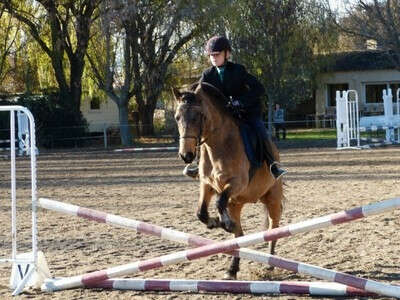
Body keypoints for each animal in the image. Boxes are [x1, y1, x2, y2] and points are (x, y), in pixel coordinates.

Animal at [173, 81, 284, 278]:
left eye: (198, 116)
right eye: (177, 117)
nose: (186, 155)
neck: (218, 146)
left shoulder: (236, 183)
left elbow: (218, 202)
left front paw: (221, 222)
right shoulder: (207, 184)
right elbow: (201, 212)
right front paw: (215, 222)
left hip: (272, 197)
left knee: (273, 227)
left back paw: (270, 263)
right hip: (235, 204)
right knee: (238, 236)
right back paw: (232, 269)